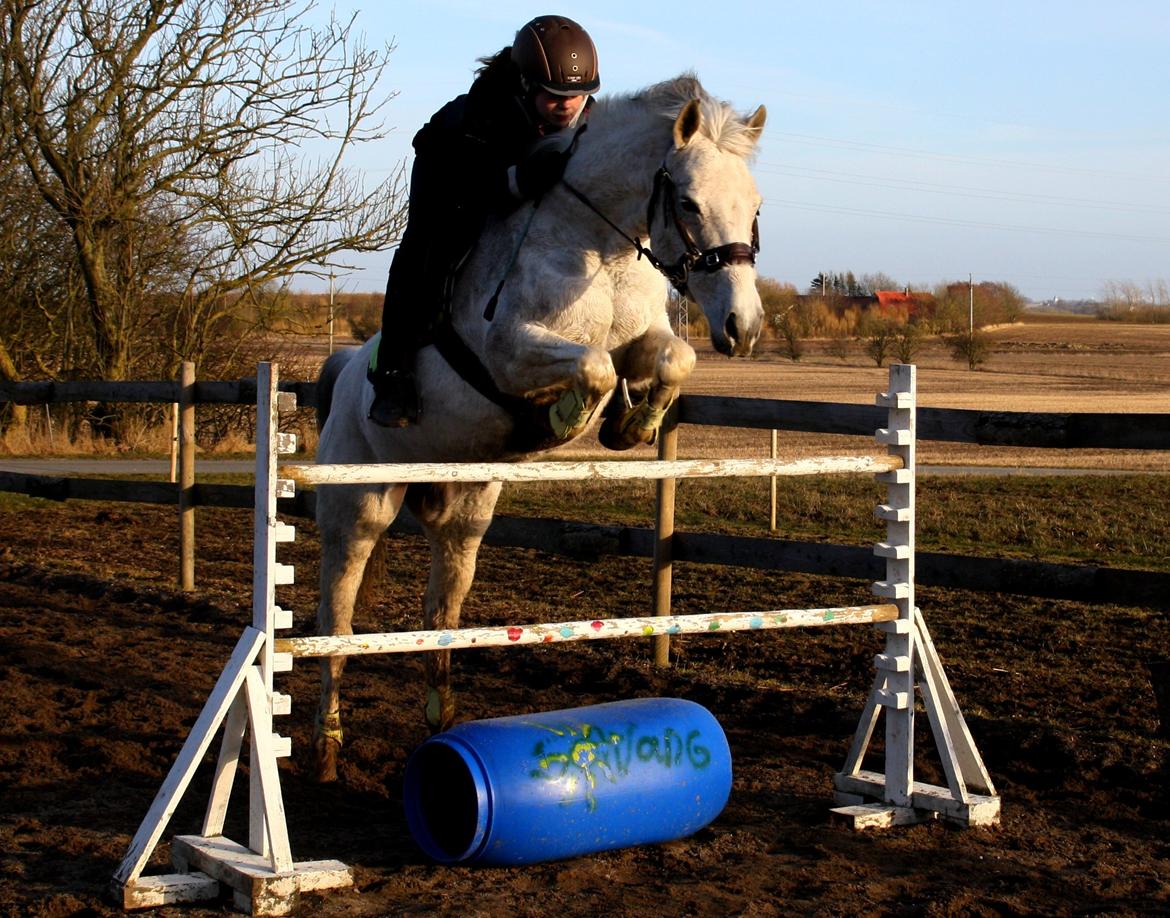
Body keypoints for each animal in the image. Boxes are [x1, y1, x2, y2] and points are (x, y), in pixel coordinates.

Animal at [311, 75, 767, 781]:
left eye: (754, 209)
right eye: (688, 204)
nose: (742, 328)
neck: (598, 246)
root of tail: (340, 377)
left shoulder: (646, 336)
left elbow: (671, 358)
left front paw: (630, 427)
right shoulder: (511, 351)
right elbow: (595, 366)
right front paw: (565, 418)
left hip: (466, 509)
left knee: (441, 607)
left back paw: (440, 721)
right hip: (361, 503)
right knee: (336, 613)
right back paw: (328, 745)